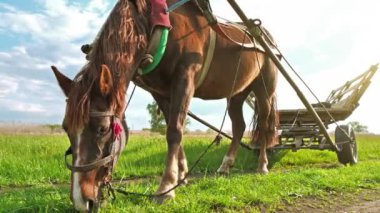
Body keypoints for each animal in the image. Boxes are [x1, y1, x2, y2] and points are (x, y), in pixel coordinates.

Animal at [51, 0, 276, 210]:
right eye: (66, 128)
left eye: (103, 129)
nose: (81, 201)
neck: (154, 23)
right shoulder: (159, 92)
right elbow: (173, 127)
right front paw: (181, 175)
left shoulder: (185, 77)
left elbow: (174, 131)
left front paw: (166, 187)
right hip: (237, 93)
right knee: (238, 126)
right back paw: (226, 165)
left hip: (264, 91)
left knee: (265, 125)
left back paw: (262, 165)